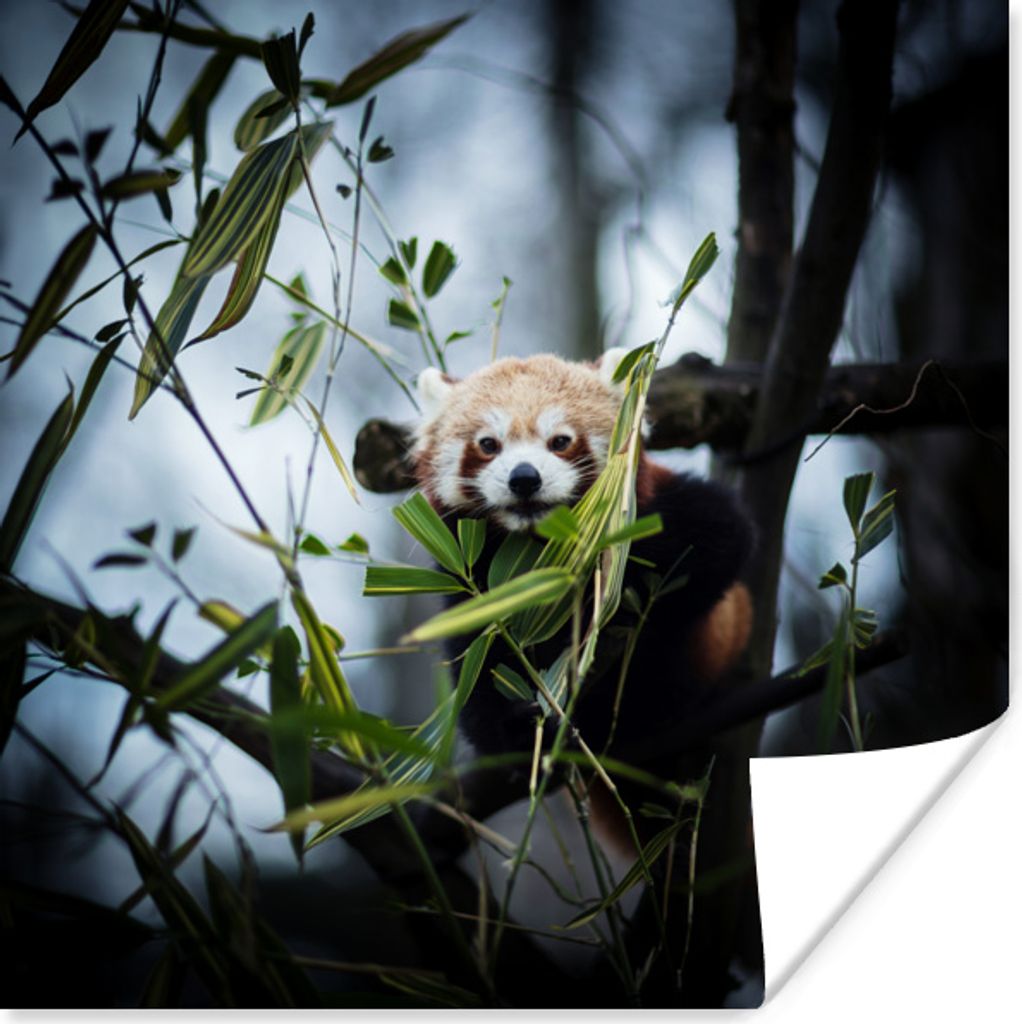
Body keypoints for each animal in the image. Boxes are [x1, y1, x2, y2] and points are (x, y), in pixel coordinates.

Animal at [411, 349, 755, 846]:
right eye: (488, 444)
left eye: (560, 441)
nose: (524, 478)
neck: (539, 546)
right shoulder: (472, 581)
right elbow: (477, 666)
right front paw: (520, 735)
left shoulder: (670, 512)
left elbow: (721, 543)